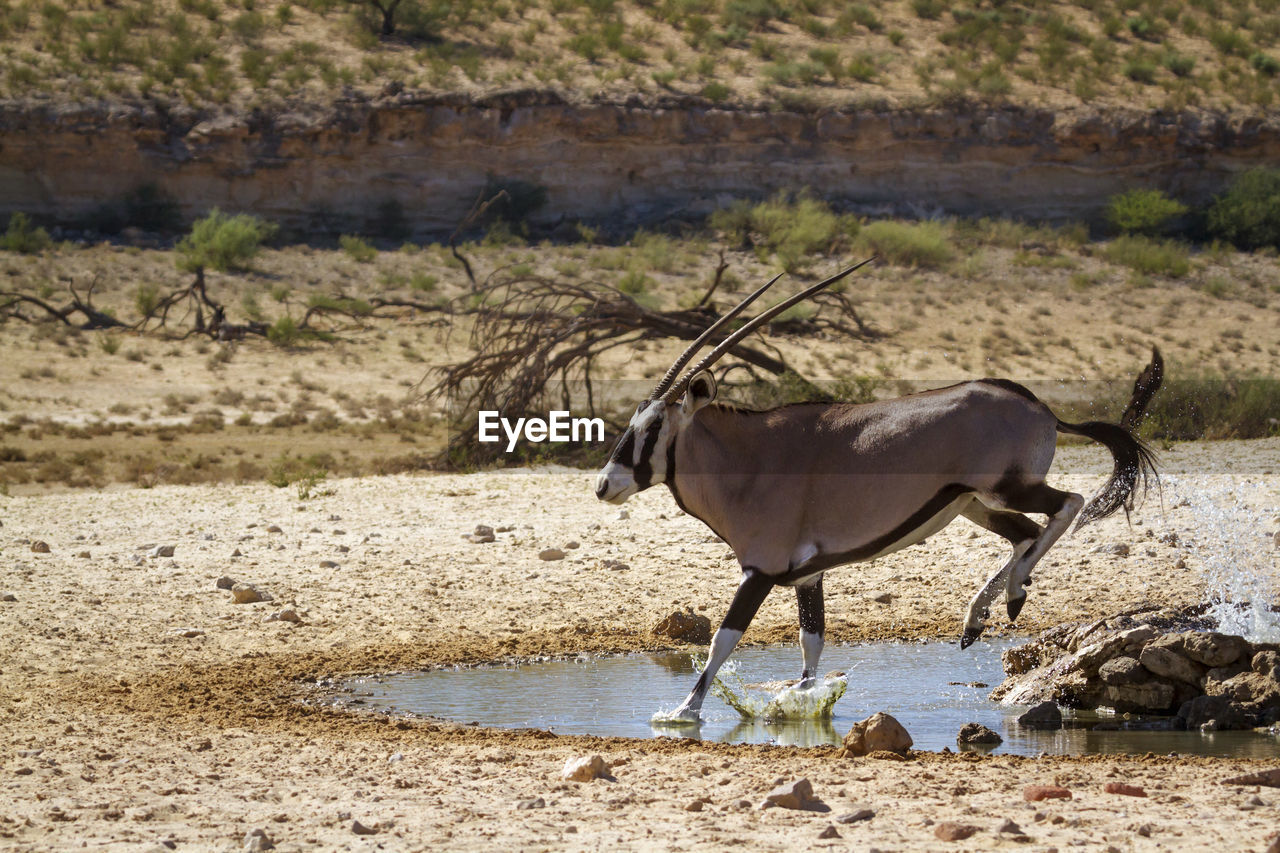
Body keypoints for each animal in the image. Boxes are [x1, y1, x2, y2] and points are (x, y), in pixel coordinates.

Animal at [591, 261, 1162, 717]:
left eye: (651, 428)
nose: (603, 485)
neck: (747, 459)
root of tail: (1041, 406)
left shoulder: (760, 571)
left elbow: (723, 641)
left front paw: (684, 712)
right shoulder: (807, 575)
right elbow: (811, 643)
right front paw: (802, 702)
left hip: (1003, 488)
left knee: (1067, 505)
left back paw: (1013, 595)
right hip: (972, 504)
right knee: (1024, 532)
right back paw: (979, 619)